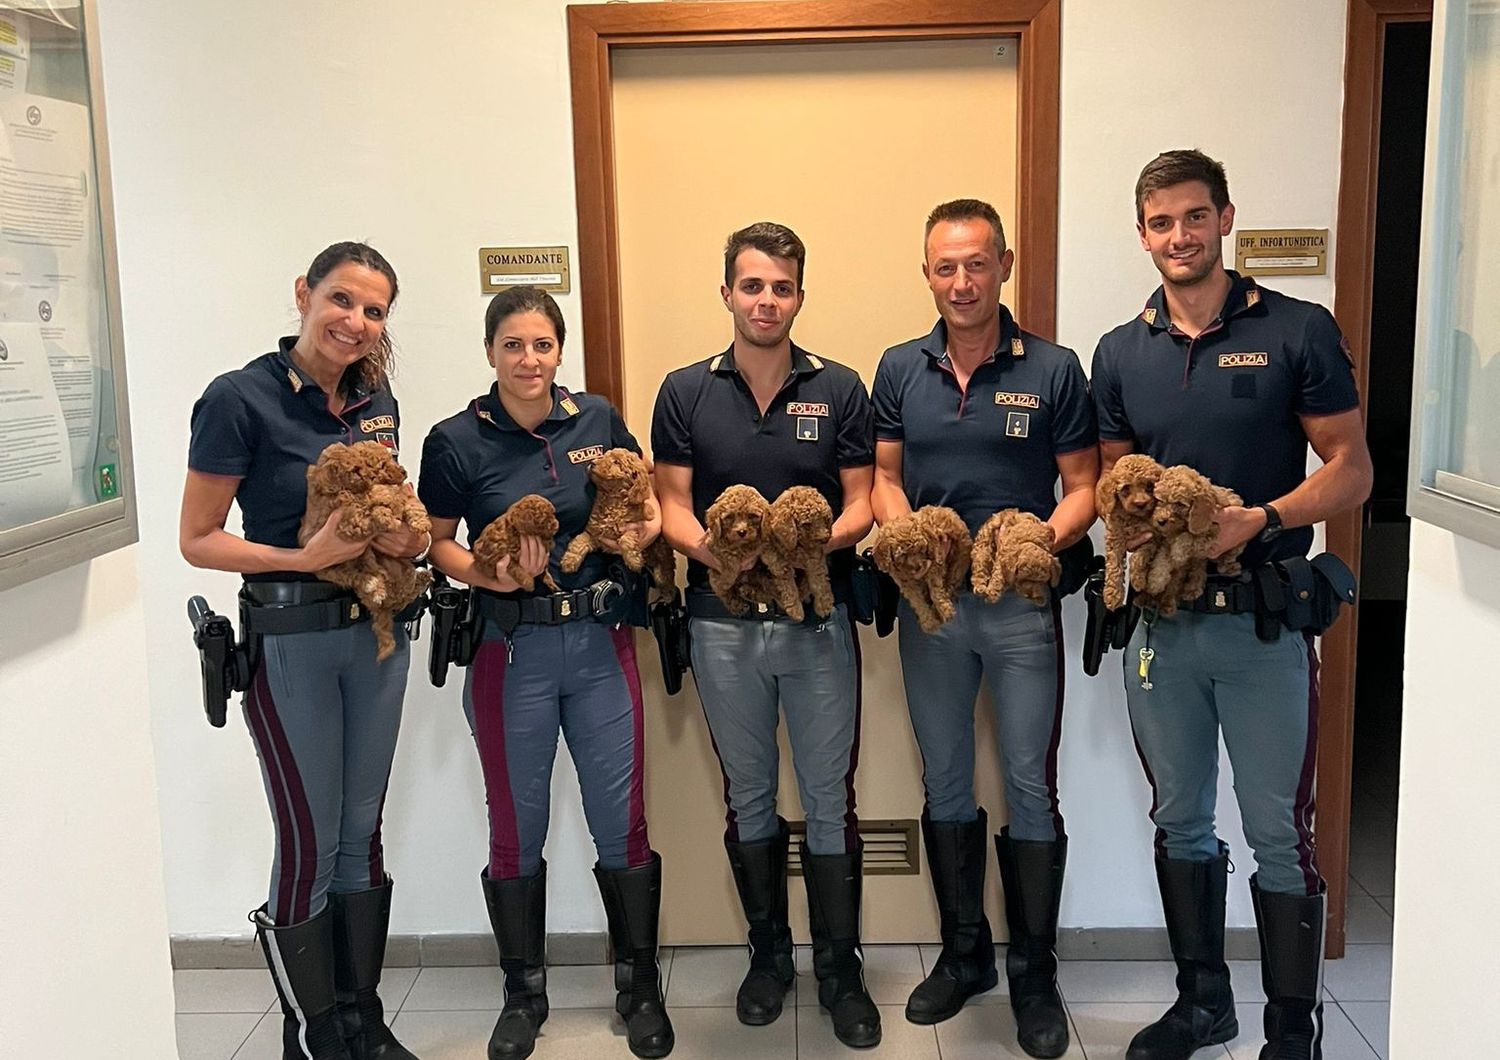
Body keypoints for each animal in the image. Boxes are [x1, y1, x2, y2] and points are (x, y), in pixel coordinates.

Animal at [295, 440, 432, 659]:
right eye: (382, 465)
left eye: (392, 459)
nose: (403, 471)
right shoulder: (345, 515)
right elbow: (367, 512)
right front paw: (384, 514)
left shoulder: (405, 495)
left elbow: (413, 506)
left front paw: (420, 524)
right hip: (334, 570)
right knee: (360, 579)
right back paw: (375, 587)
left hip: (398, 569)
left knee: (405, 590)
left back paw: (419, 578)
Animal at [705, 482, 774, 614]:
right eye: (729, 517)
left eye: (752, 516)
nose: (742, 532)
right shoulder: (712, 543)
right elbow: (728, 555)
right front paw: (728, 576)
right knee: (723, 591)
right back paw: (738, 603)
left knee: (769, 594)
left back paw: (747, 591)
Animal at [762, 485, 834, 626]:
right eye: (806, 524)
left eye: (824, 519)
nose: (825, 539)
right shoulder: (774, 557)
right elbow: (787, 584)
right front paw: (796, 610)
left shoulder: (815, 556)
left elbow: (818, 581)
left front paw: (824, 605)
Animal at [1098, 452, 1164, 608]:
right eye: (1126, 488)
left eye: (1149, 486)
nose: (1141, 504)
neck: (1133, 517)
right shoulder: (1114, 537)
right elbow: (1114, 565)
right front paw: (1112, 595)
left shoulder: (1153, 536)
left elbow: (1138, 556)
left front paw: (1138, 580)